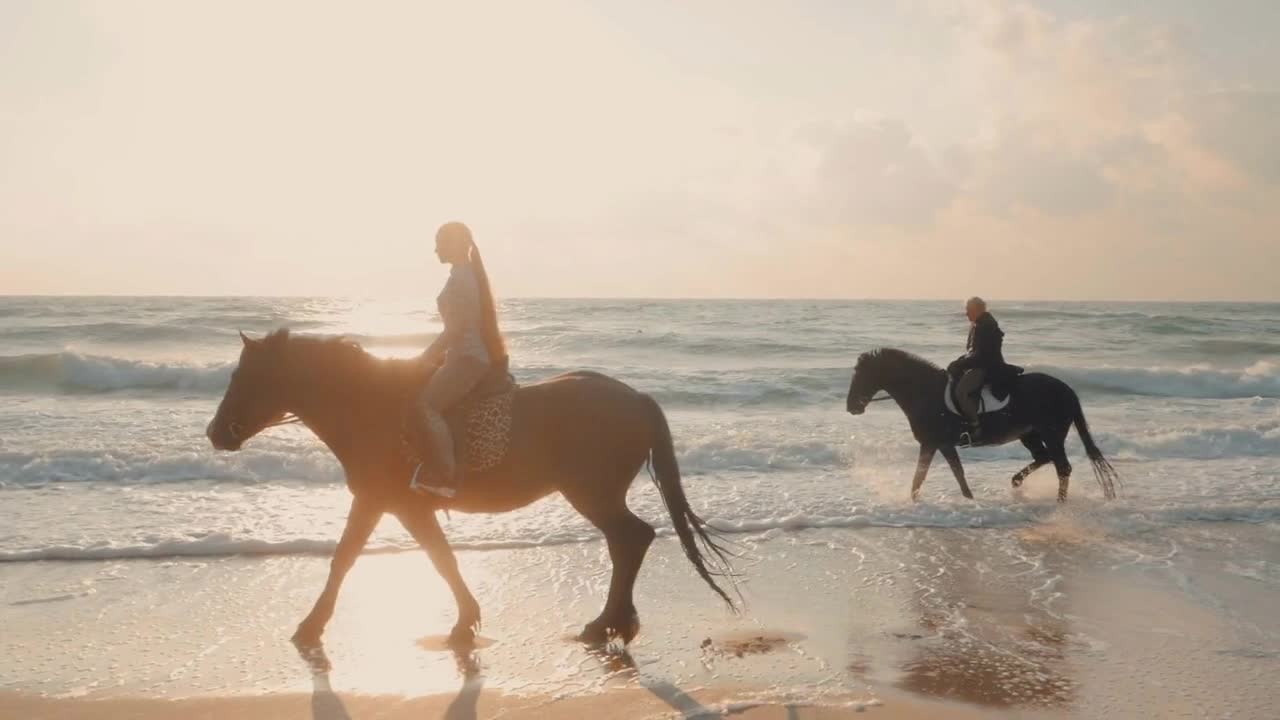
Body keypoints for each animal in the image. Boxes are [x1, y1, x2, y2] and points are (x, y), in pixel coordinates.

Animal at [204, 330, 737, 645]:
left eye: (242, 375)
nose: (215, 433)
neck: (371, 407)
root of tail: (635, 398)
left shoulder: (388, 503)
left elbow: (390, 559)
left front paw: (310, 626)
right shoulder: (389, 505)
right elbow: (413, 557)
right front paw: (466, 619)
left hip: (592, 494)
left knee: (631, 539)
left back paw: (607, 621)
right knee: (628, 541)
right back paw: (614, 620)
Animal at [844, 348, 1116, 499]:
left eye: (862, 375)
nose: (851, 407)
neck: (925, 392)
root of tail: (1067, 389)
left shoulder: (938, 443)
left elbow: (947, 473)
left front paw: (967, 499)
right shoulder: (934, 444)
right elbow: (928, 476)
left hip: (1052, 434)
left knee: (1062, 467)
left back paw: (1060, 503)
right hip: (1029, 434)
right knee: (1044, 458)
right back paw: (1016, 482)